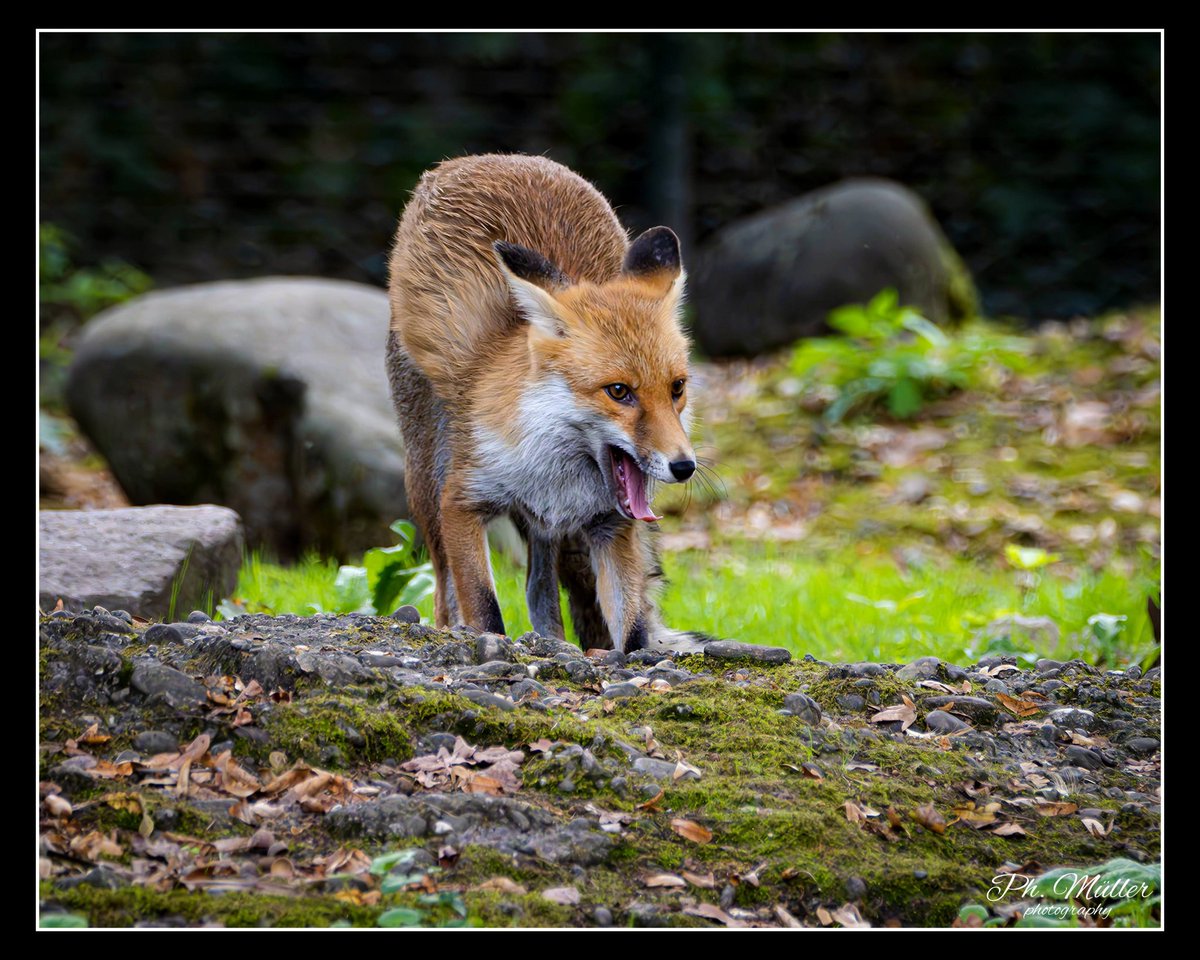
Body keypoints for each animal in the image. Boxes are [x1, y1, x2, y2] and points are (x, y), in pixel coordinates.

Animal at [385, 153, 710, 653]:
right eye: (619, 391)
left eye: (676, 388)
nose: (684, 466)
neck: (556, 474)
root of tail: (479, 159)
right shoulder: (460, 501)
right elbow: (484, 606)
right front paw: (489, 643)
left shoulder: (609, 525)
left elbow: (633, 628)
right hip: (424, 483)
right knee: (443, 590)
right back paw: (451, 628)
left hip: (543, 531)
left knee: (540, 590)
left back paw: (552, 640)